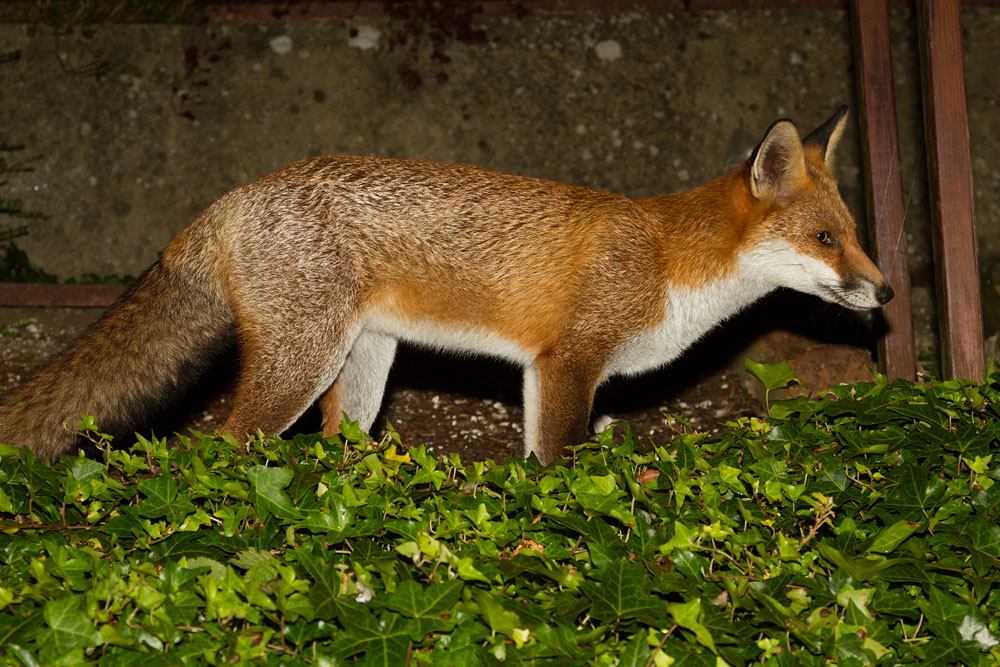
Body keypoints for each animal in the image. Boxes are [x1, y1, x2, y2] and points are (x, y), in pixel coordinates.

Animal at [0, 106, 892, 465]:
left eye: (854, 234)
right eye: (825, 239)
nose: (884, 295)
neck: (672, 263)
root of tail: (232, 197)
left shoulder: (540, 371)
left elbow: (535, 460)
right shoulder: (570, 359)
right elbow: (561, 464)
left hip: (363, 365)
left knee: (337, 448)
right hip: (301, 365)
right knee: (222, 447)